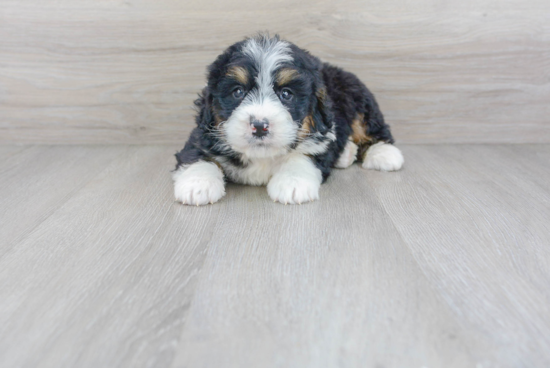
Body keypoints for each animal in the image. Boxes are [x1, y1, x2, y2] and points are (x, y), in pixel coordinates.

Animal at [174, 33, 406, 206]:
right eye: (238, 92)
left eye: (286, 94)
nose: (260, 126)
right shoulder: (203, 134)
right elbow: (197, 154)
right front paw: (197, 184)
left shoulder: (319, 138)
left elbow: (303, 155)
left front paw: (293, 183)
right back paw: (346, 153)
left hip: (358, 97)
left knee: (370, 127)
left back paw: (384, 153)